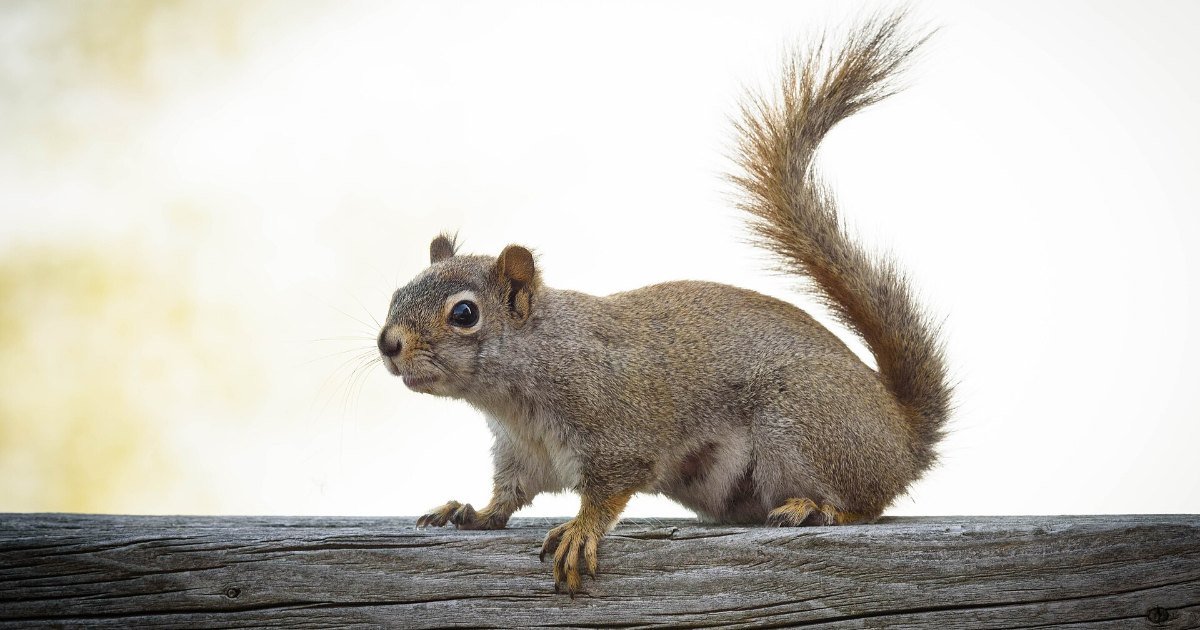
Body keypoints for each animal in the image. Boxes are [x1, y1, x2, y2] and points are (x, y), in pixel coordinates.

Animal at [377, 11, 950, 595]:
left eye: (464, 314)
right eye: (397, 294)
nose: (388, 344)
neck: (515, 396)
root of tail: (903, 437)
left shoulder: (618, 432)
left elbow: (608, 491)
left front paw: (579, 531)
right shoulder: (520, 453)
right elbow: (507, 497)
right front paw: (468, 511)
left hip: (802, 423)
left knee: (863, 504)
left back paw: (816, 509)